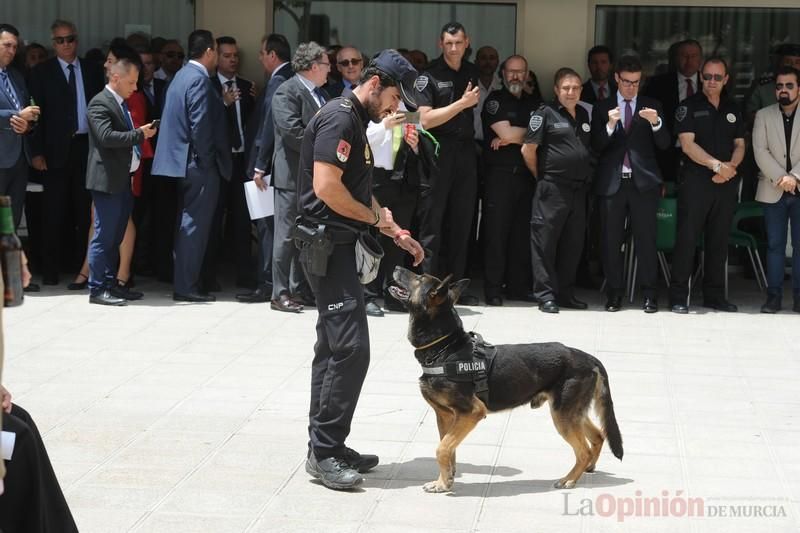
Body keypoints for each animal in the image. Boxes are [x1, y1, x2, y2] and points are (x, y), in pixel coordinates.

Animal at [390, 268, 624, 492]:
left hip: (563, 415)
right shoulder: (446, 416)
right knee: (598, 436)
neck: (445, 348)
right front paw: (445, 481)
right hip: (571, 412)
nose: (397, 266)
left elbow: (442, 449)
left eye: (419, 278)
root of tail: (588, 357)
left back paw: (569, 479)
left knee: (583, 450)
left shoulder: (471, 412)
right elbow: (449, 451)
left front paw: (443, 483)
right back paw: (587, 468)